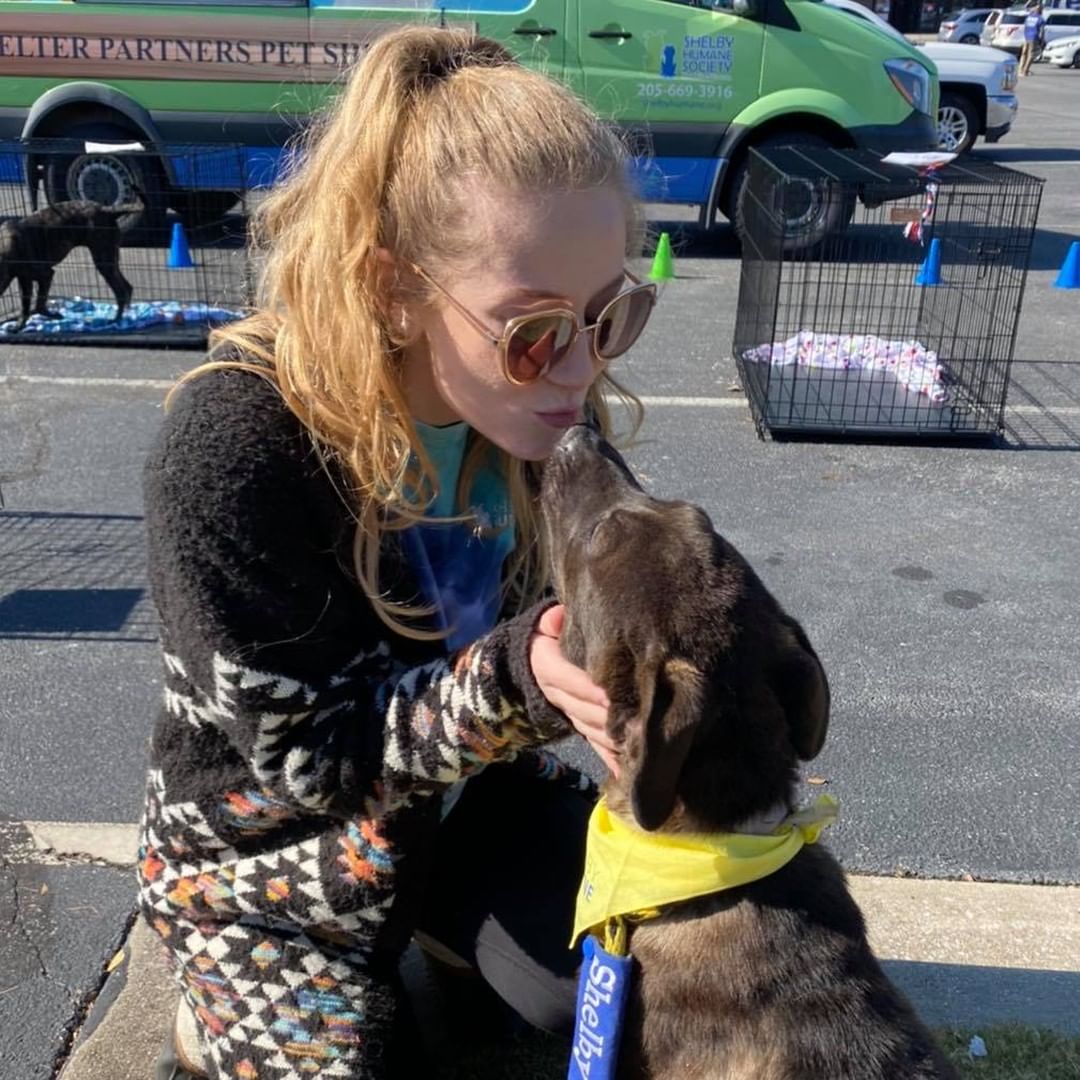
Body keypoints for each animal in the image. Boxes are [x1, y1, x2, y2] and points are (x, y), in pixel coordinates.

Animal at [0, 192, 144, 330]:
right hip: (110, 259)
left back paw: (116, 320)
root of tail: (105, 209)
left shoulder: (45, 275)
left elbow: (39, 304)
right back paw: (125, 314)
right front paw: (19, 326)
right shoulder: (24, 281)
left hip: (104, 260)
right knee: (127, 287)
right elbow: (25, 307)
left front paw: (52, 315)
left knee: (120, 291)